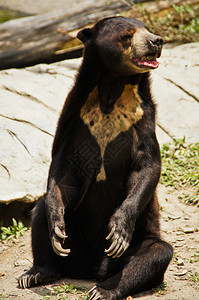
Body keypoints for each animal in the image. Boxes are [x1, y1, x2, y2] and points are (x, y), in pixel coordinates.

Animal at [18, 17, 173, 300]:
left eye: (147, 29)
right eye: (127, 35)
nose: (156, 41)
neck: (112, 89)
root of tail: (91, 269)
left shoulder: (142, 119)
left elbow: (147, 166)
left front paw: (118, 230)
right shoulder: (74, 118)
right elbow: (61, 169)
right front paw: (56, 223)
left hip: (136, 242)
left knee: (156, 252)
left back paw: (103, 289)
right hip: (73, 241)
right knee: (41, 211)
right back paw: (36, 272)